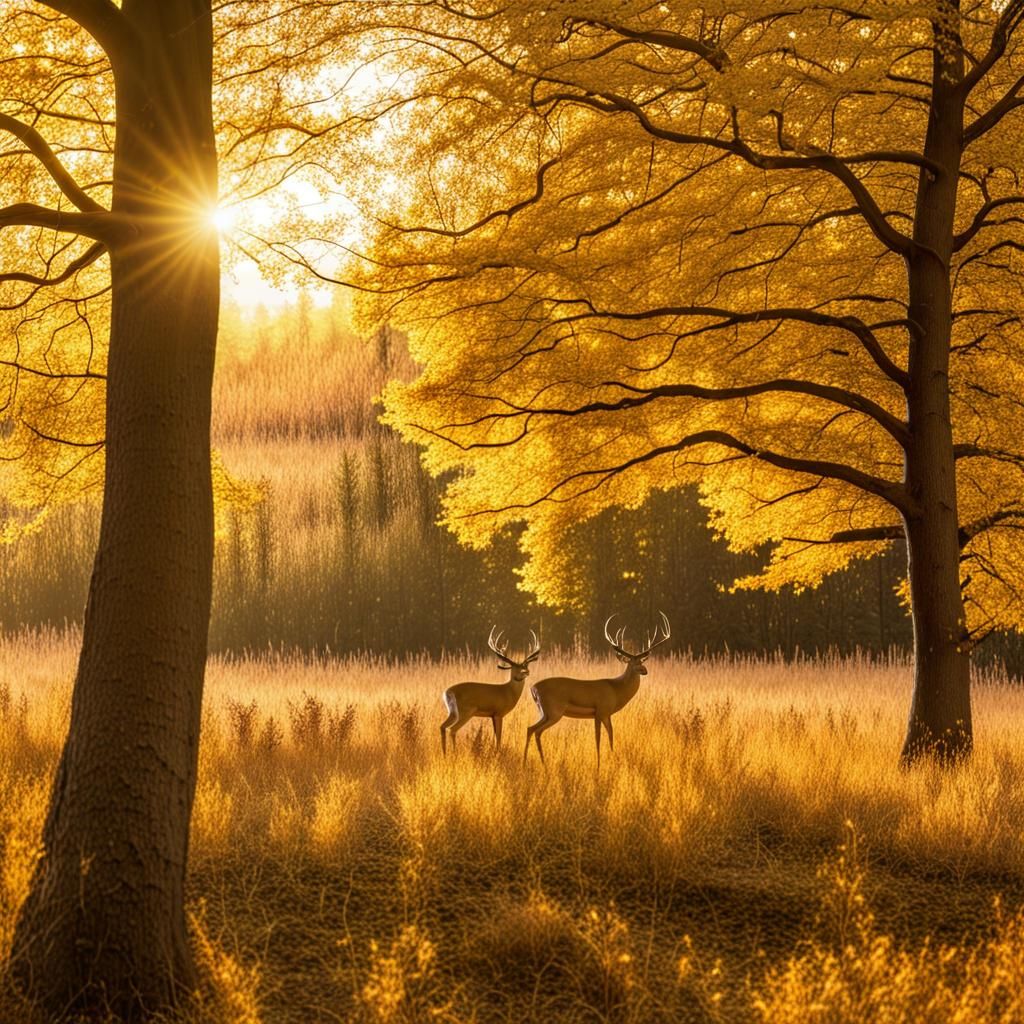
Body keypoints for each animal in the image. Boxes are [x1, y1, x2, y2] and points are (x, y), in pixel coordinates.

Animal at [440, 626, 541, 754]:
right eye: (515, 668)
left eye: (524, 666)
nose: (526, 672)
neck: (508, 692)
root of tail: (447, 692)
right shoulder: (499, 713)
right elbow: (499, 737)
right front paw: (498, 752)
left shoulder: (492, 715)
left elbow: (495, 735)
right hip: (465, 711)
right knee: (452, 729)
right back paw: (454, 753)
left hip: (452, 712)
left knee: (442, 726)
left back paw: (444, 753)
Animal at [523, 612, 671, 765]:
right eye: (632, 663)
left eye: (641, 661)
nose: (645, 670)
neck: (616, 690)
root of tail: (533, 688)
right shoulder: (600, 711)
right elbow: (598, 739)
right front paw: (599, 764)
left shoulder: (607, 714)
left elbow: (611, 736)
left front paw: (612, 758)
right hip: (554, 711)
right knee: (536, 731)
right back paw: (539, 762)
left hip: (544, 712)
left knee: (530, 729)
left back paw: (527, 761)